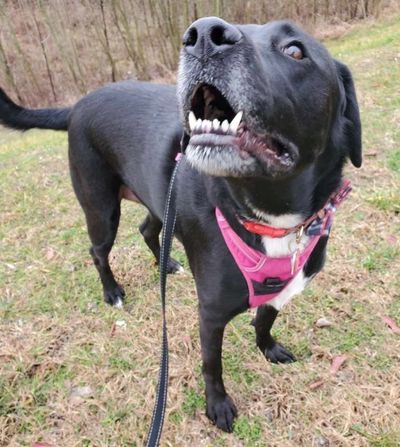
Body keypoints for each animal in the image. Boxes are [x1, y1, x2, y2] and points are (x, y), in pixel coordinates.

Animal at [0, 18, 360, 434]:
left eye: (295, 50)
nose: (203, 34)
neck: (271, 219)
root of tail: (76, 105)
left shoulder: (286, 288)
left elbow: (264, 319)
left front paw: (268, 348)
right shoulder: (211, 314)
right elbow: (212, 364)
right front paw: (217, 407)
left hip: (157, 197)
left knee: (146, 229)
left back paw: (166, 264)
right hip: (101, 207)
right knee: (98, 250)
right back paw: (112, 291)